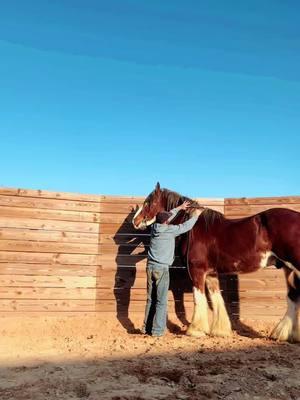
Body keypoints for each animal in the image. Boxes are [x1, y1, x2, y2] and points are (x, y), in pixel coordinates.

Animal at [132, 183, 300, 342]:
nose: (135, 221)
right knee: (293, 296)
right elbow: (216, 298)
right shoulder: (211, 273)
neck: (194, 228)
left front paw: (196, 331)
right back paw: (284, 334)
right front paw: (220, 331)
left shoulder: (197, 271)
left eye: (149, 202)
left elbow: (198, 298)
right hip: (288, 269)